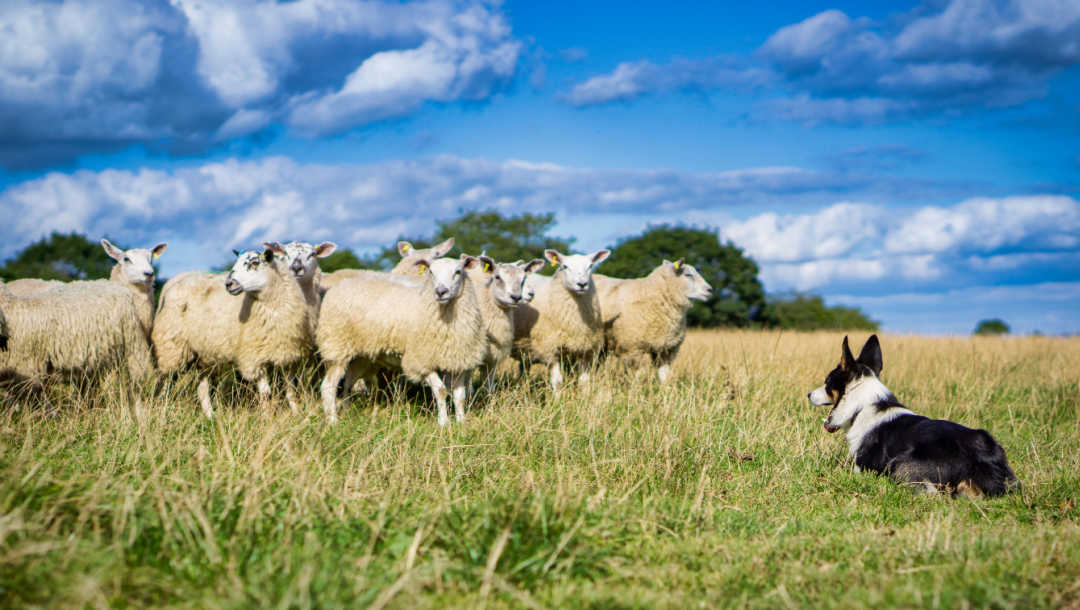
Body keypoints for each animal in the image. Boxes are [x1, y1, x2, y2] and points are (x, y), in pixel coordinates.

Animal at [154, 244, 317, 418]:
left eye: (254, 263)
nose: (229, 284)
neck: (273, 307)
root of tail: (172, 284)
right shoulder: (255, 356)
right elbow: (266, 394)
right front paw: (267, 417)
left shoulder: (287, 354)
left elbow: (290, 389)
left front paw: (297, 413)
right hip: (172, 347)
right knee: (165, 383)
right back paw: (162, 412)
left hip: (203, 354)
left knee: (202, 388)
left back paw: (210, 416)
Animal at [315, 254, 486, 425]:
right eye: (431, 272)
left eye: (458, 271)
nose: (440, 292)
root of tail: (338, 286)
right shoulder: (421, 361)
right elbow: (441, 391)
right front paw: (443, 422)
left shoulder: (458, 362)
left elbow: (460, 396)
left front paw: (461, 422)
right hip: (336, 346)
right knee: (328, 386)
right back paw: (333, 421)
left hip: (360, 356)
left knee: (348, 383)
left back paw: (346, 411)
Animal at [511, 247, 609, 390]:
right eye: (565, 266)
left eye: (590, 266)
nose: (582, 284)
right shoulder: (550, 348)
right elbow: (557, 382)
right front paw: (558, 396)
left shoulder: (585, 349)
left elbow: (584, 382)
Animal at [812, 334, 1019, 496]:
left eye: (827, 382)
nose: (808, 395)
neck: (862, 406)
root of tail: (984, 460)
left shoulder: (861, 469)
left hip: (900, 464)